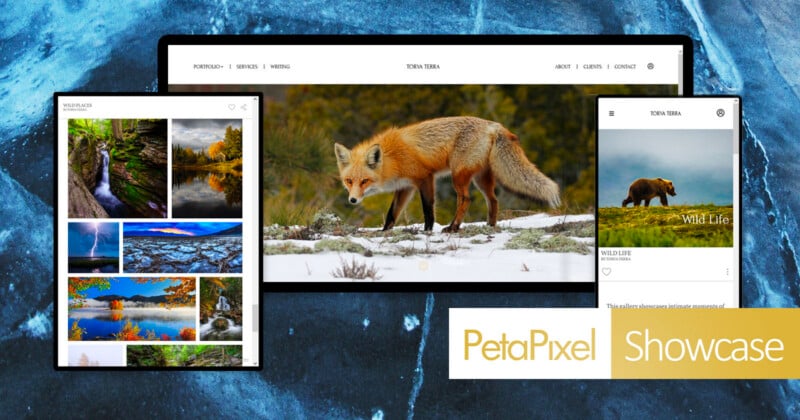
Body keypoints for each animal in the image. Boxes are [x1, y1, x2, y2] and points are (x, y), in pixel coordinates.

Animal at [334, 116, 560, 233]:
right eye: (349, 181)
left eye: (365, 181)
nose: (352, 200)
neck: (393, 158)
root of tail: (494, 125)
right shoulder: (405, 187)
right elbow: (392, 213)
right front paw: (384, 232)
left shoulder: (425, 177)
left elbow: (428, 209)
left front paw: (427, 230)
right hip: (481, 179)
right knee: (494, 200)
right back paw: (490, 226)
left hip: (458, 176)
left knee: (466, 199)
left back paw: (453, 227)